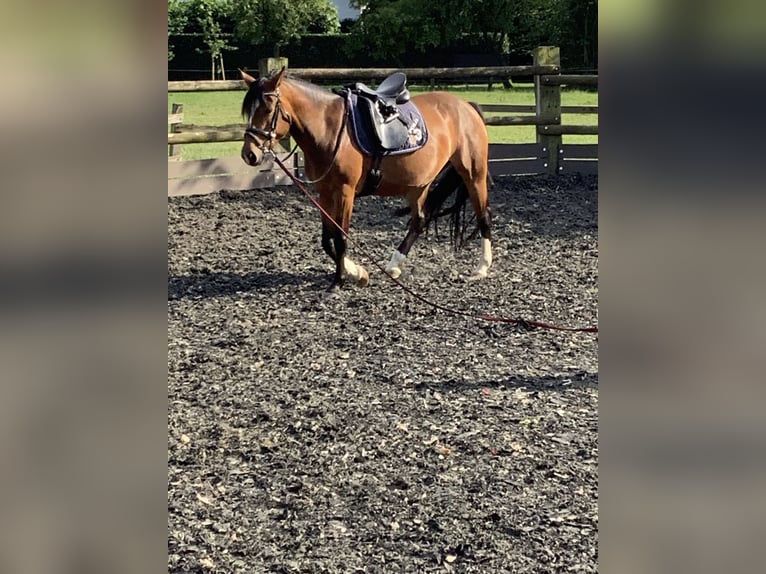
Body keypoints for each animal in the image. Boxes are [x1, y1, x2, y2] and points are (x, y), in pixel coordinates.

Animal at [238, 69, 492, 290]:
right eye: (248, 111)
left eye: (268, 108)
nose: (249, 154)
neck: (328, 129)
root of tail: (466, 106)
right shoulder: (324, 191)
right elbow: (327, 238)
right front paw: (356, 272)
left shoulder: (345, 191)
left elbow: (340, 236)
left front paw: (341, 279)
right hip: (419, 184)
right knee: (419, 221)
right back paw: (394, 265)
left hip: (473, 174)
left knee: (483, 216)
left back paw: (482, 267)